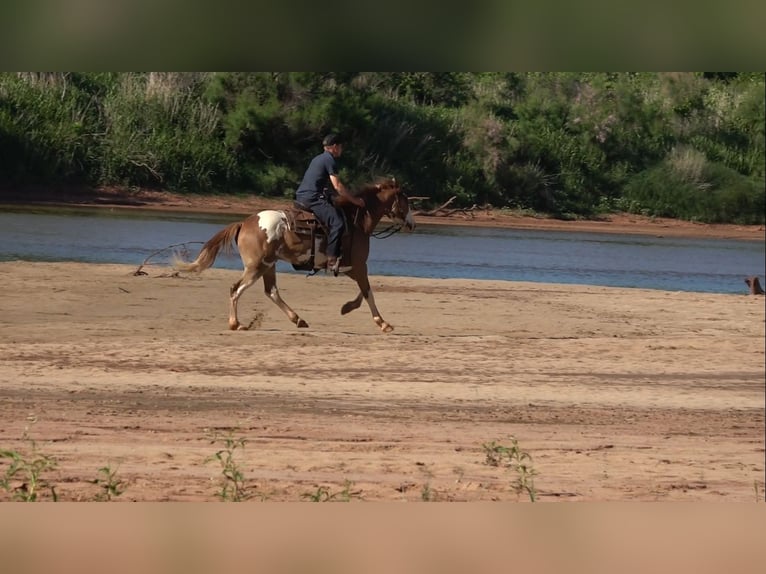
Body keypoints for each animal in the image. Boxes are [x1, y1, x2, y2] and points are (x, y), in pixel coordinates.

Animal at [174, 177, 415, 332]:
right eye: (405, 201)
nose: (412, 224)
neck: (356, 221)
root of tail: (244, 223)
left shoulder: (349, 266)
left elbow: (363, 291)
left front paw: (347, 307)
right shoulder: (358, 265)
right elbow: (368, 292)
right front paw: (383, 323)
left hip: (268, 265)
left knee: (271, 291)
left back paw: (297, 319)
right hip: (256, 267)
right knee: (236, 289)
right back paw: (236, 323)